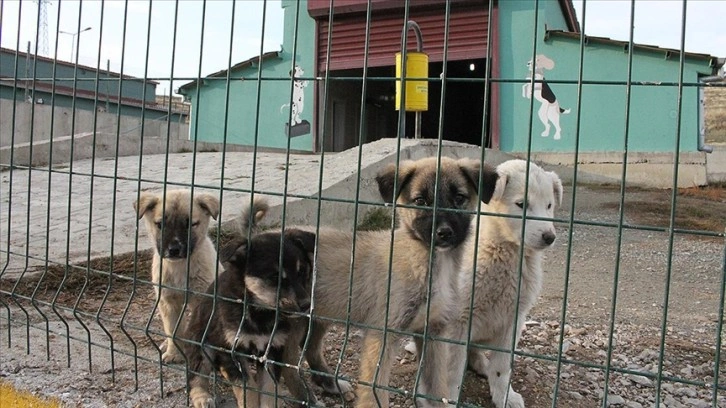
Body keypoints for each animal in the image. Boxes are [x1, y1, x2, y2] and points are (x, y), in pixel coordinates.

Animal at [135, 189, 222, 364]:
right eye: (160, 224)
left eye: (191, 224)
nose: (174, 250)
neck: (179, 267)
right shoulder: (168, 302)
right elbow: (173, 330)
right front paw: (174, 353)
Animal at [183, 225, 320, 406]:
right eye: (275, 277)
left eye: (302, 271)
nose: (306, 305)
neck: (259, 313)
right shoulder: (231, 351)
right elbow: (247, 389)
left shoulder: (273, 349)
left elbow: (268, 389)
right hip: (201, 344)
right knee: (196, 375)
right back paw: (202, 397)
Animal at [302, 157, 500, 408]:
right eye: (420, 201)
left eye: (459, 198)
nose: (444, 233)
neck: (429, 264)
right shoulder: (381, 335)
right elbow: (374, 393)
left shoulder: (432, 332)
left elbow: (436, 387)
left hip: (316, 317)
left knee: (310, 348)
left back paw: (330, 383)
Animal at [432, 159, 564, 408]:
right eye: (521, 204)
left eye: (549, 205)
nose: (549, 237)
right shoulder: (458, 321)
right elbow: (452, 369)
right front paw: (448, 398)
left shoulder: (513, 320)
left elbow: (502, 366)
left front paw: (505, 396)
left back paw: (481, 364)